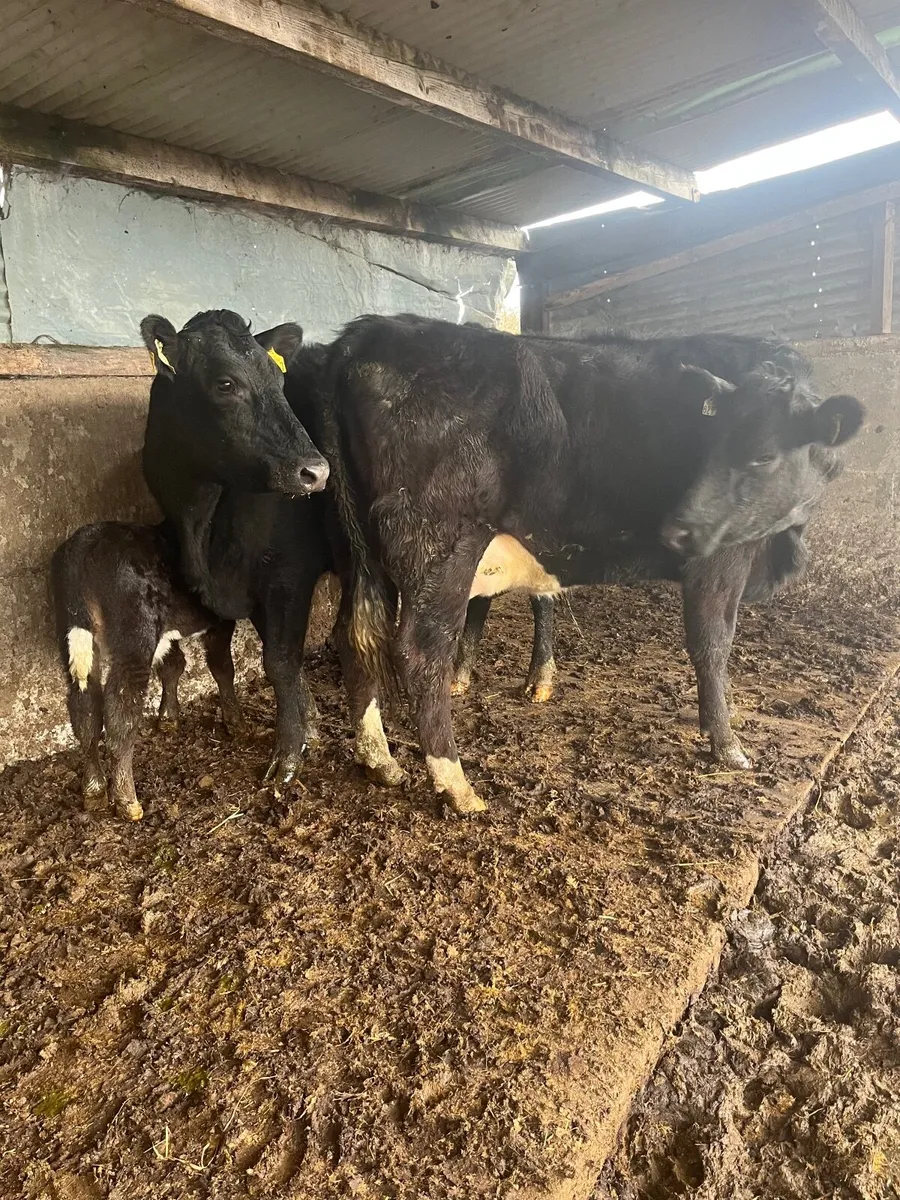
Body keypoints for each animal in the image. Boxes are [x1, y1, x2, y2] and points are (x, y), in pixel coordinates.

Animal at [52, 521, 240, 820]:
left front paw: (168, 717)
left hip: (72, 632)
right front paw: (234, 719)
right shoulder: (220, 619)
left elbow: (173, 666)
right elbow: (221, 667)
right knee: (121, 712)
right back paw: (127, 800)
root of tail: (87, 541)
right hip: (135, 637)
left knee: (85, 710)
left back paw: (94, 790)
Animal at [140, 309, 331, 791]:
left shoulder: (289, 575)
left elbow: (280, 661)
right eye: (225, 384)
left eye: (279, 381)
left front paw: (288, 755)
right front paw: (311, 722)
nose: (316, 472)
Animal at [322, 319, 864, 815]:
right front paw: (727, 745)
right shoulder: (722, 555)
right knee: (419, 652)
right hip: (438, 540)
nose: (678, 529)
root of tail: (372, 330)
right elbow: (712, 645)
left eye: (763, 455)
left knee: (353, 636)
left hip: (361, 550)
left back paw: (378, 759)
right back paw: (456, 784)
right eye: (713, 441)